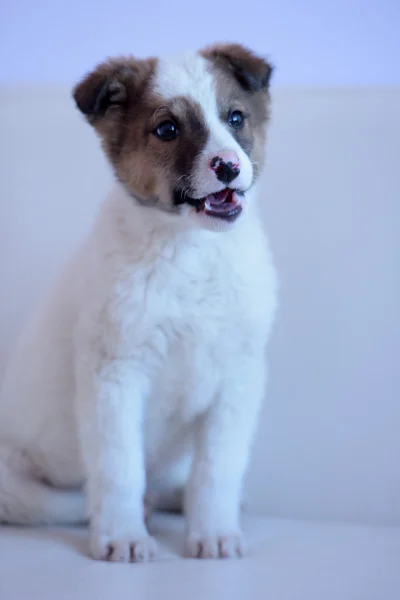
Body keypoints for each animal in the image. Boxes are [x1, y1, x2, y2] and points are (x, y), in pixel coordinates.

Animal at [0, 43, 278, 564]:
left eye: (235, 117)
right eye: (167, 129)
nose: (228, 166)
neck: (190, 249)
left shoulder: (238, 378)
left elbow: (217, 470)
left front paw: (213, 532)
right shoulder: (114, 377)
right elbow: (119, 468)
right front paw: (123, 537)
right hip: (17, 486)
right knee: (66, 500)